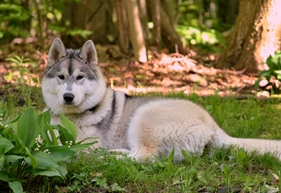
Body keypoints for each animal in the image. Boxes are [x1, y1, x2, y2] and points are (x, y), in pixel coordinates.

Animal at [40, 38, 280, 162]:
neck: (70, 116)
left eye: (80, 77)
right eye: (61, 77)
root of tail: (213, 126)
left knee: (146, 156)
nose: (68, 96)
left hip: (144, 115)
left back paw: (111, 155)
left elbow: (54, 149)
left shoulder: (83, 144)